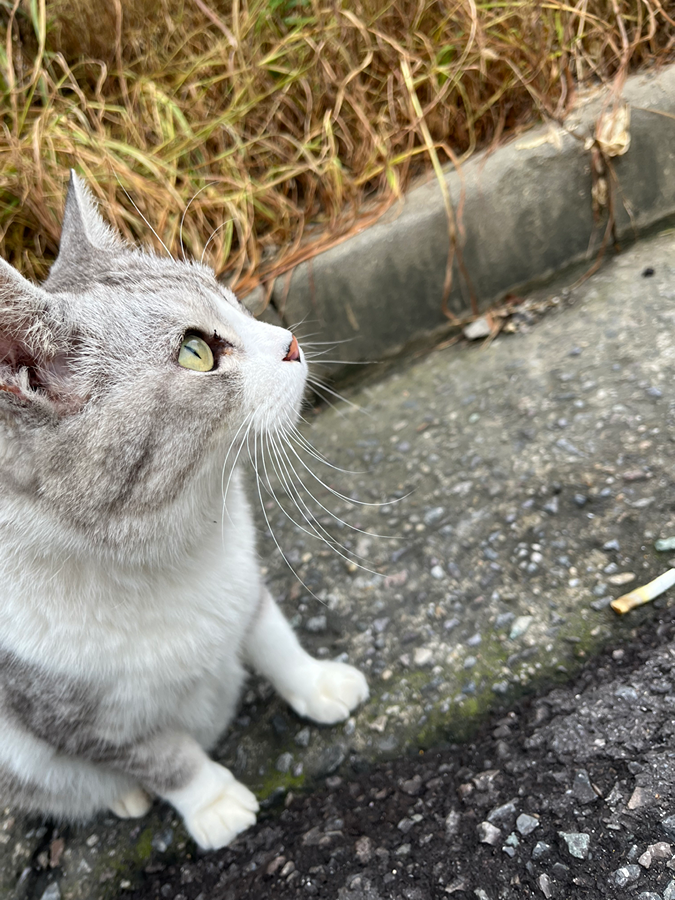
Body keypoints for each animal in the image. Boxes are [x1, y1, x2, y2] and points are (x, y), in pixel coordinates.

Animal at [0, 174, 370, 852]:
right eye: (196, 351)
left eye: (228, 294)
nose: (291, 343)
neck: (171, 547)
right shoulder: (76, 720)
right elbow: (163, 758)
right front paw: (214, 801)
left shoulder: (242, 584)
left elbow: (273, 638)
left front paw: (317, 682)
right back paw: (122, 798)